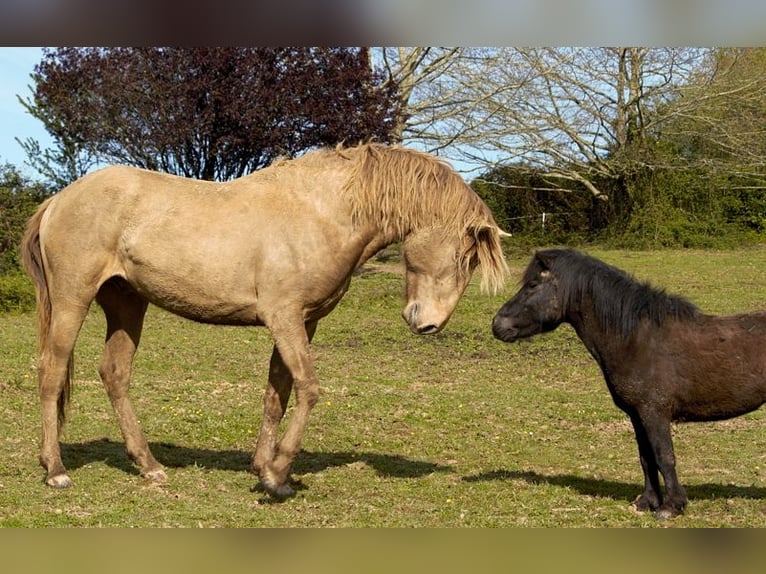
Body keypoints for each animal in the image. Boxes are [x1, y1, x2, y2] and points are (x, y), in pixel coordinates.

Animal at [19, 144, 510, 500]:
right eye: (465, 256)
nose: (426, 324)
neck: (321, 213)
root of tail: (60, 199)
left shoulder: (301, 323)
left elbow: (278, 394)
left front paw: (266, 468)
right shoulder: (284, 318)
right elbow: (308, 389)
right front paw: (276, 475)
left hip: (127, 305)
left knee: (115, 374)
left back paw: (149, 466)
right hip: (73, 300)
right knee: (51, 373)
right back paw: (56, 470)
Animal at [492, 250, 766, 520]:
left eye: (532, 284)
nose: (497, 325)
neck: (638, 338)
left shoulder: (654, 413)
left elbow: (664, 457)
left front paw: (671, 507)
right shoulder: (637, 415)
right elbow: (646, 458)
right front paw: (647, 502)